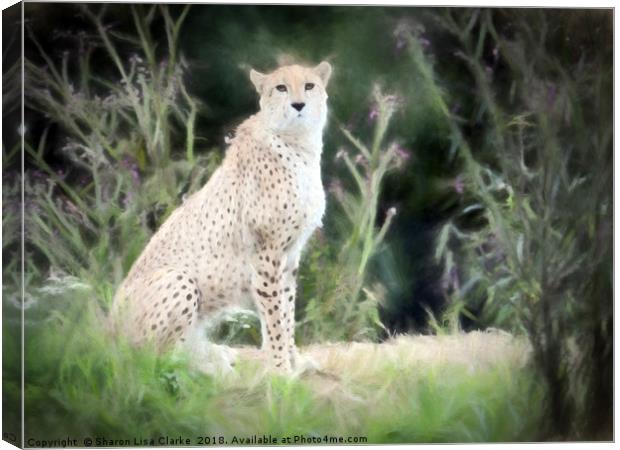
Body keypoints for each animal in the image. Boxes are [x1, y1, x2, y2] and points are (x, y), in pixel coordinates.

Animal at [111, 61, 334, 374]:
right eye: (281, 87)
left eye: (310, 85)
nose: (298, 104)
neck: (297, 145)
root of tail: (107, 329)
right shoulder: (266, 254)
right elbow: (275, 316)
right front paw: (280, 370)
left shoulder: (290, 255)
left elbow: (287, 311)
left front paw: (295, 361)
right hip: (179, 279)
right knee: (154, 360)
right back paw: (211, 367)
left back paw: (216, 354)